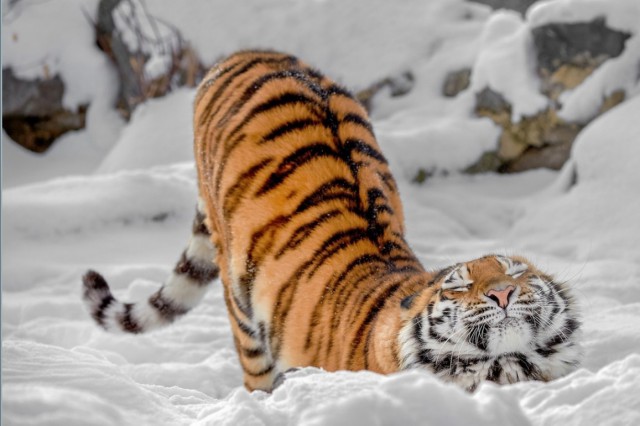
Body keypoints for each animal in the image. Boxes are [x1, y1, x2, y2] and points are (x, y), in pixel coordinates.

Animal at [82, 48, 584, 392]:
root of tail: (248, 53)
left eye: (516, 273)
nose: (502, 293)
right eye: (459, 286)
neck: (504, 366)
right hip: (240, 298)